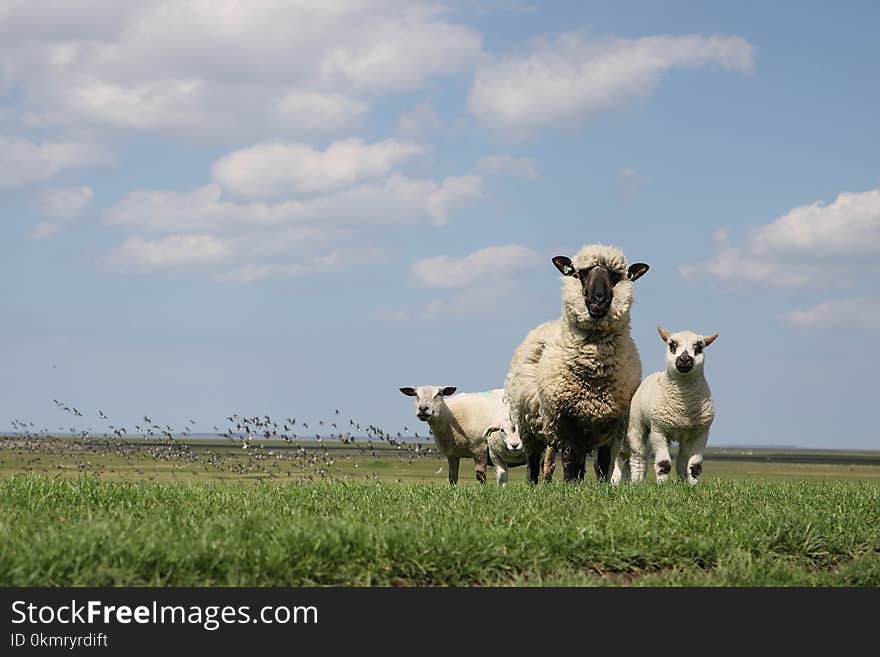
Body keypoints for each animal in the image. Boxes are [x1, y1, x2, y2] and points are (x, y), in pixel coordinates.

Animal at [502, 245, 648, 482]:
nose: (598, 300)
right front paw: (569, 486)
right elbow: (569, 457)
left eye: (615, 276)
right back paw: (534, 482)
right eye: (580, 274)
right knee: (534, 460)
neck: (594, 372)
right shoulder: (565, 418)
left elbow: (603, 462)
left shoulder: (612, 422)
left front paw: (600, 486)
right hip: (528, 425)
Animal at [616, 326, 720, 484]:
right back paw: (637, 482)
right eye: (672, 345)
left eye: (698, 347)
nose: (684, 359)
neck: (683, 408)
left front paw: (692, 485)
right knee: (638, 457)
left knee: (682, 460)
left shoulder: (700, 433)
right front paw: (662, 484)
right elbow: (663, 463)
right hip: (636, 425)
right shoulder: (659, 430)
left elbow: (694, 465)